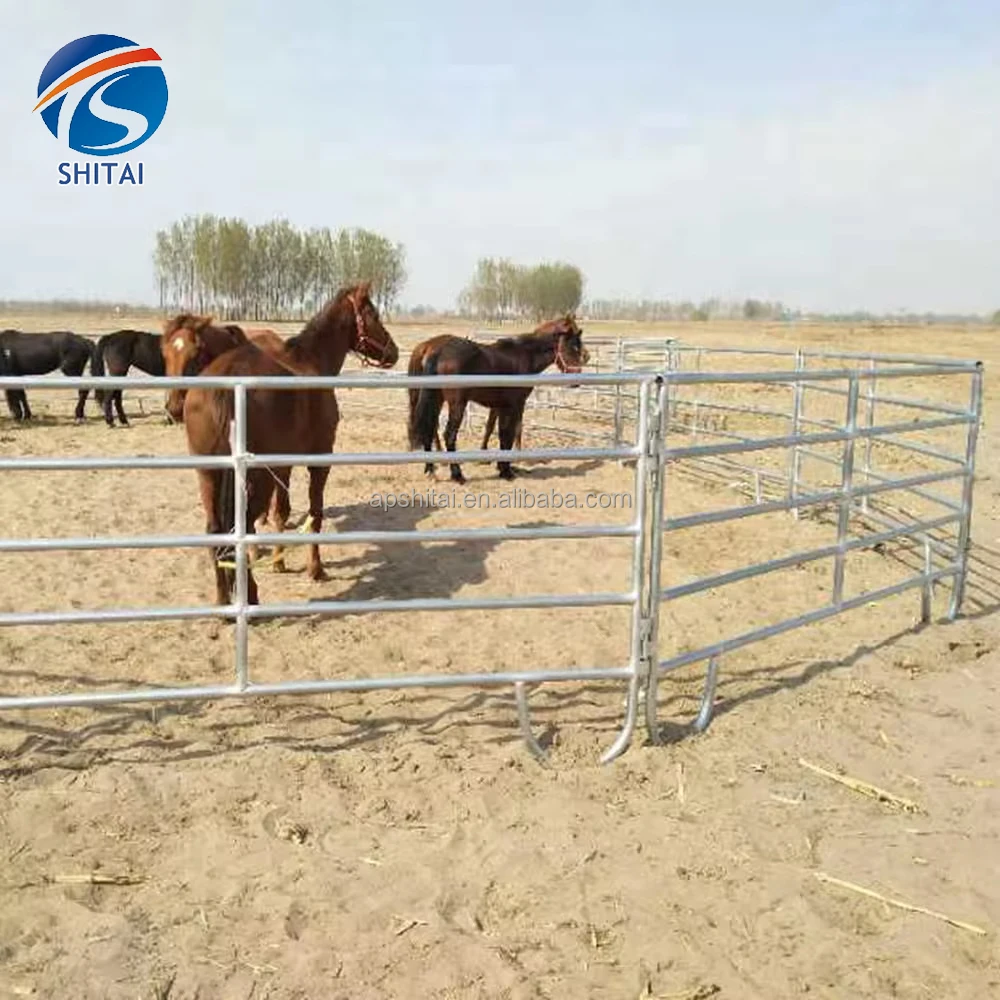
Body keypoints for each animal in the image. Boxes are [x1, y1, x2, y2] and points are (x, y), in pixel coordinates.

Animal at [182, 281, 399, 606]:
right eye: (372, 313)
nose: (393, 352)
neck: (310, 362)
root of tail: (228, 383)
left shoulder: (283, 465)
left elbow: (281, 512)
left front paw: (279, 562)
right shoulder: (319, 460)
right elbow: (315, 514)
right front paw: (316, 569)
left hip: (209, 475)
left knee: (216, 531)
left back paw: (222, 600)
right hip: (254, 478)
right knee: (240, 526)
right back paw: (251, 597)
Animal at [408, 315, 588, 484]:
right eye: (572, 346)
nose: (576, 380)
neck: (524, 355)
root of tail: (436, 351)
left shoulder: (502, 406)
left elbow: (501, 433)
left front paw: (502, 468)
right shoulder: (516, 405)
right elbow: (510, 433)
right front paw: (507, 471)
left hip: (435, 399)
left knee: (429, 430)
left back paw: (431, 470)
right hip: (457, 404)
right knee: (449, 435)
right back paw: (457, 475)